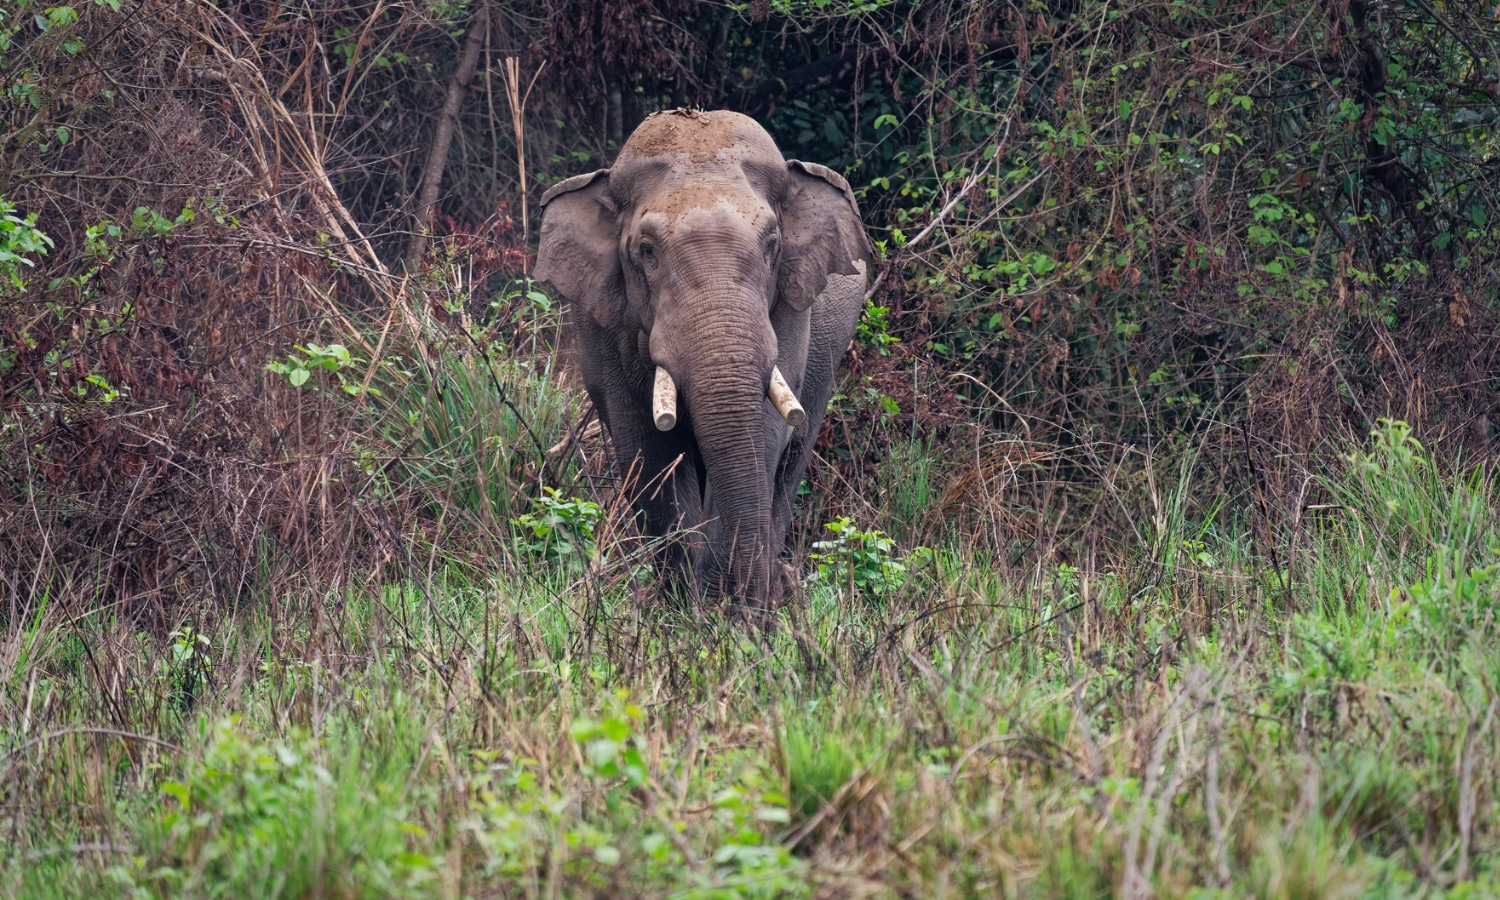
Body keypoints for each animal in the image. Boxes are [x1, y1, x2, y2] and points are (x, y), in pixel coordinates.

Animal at [534, 108, 873, 615]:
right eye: (646, 251)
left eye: (773, 245)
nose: (758, 610)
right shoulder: (602, 322)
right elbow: (646, 444)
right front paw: (681, 607)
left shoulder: (790, 307)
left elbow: (764, 430)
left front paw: (727, 608)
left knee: (792, 456)